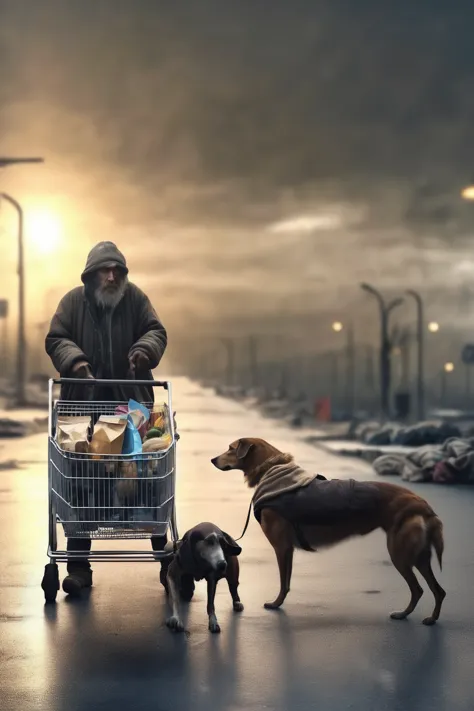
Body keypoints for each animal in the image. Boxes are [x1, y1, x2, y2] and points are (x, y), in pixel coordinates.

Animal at [213, 436, 446, 624]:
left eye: (231, 448)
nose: (213, 460)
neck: (271, 469)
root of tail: (423, 506)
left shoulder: (282, 547)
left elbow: (284, 582)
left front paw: (276, 604)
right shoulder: (287, 549)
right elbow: (286, 581)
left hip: (400, 554)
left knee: (418, 589)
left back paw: (404, 614)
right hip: (419, 557)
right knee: (438, 590)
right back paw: (430, 618)